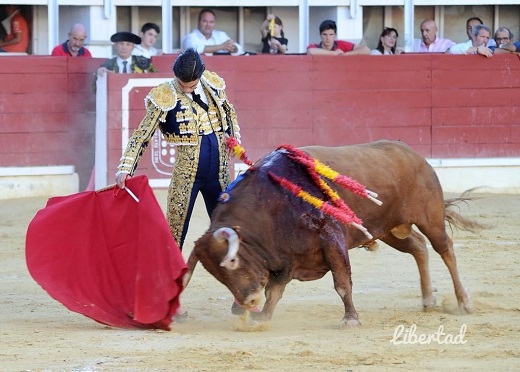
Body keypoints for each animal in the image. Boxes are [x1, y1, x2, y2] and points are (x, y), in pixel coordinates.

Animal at [184, 140, 484, 328]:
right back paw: (428, 300)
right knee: (419, 247)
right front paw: (263, 317)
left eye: (232, 261)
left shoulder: (331, 240)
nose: (249, 302)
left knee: (445, 249)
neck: (271, 203)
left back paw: (465, 302)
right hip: (387, 230)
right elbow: (275, 290)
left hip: (429, 218)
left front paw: (350, 319)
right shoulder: (287, 257)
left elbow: (341, 283)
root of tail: (414, 155)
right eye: (216, 273)